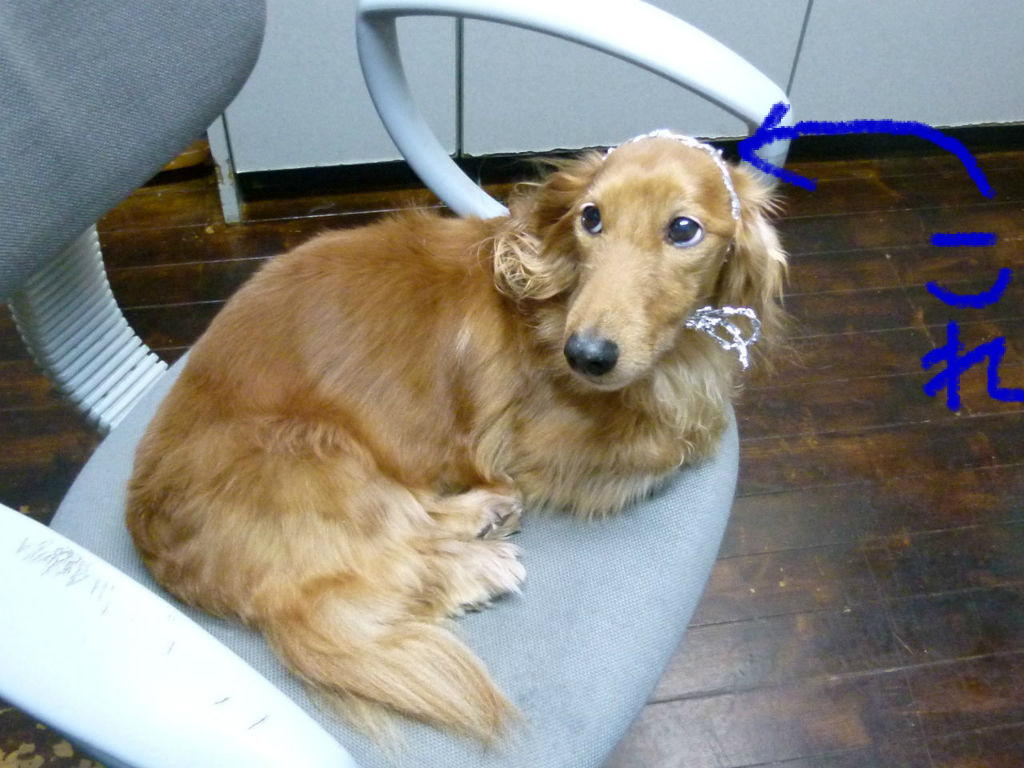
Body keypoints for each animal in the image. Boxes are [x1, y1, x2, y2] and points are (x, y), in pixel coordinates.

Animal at [126, 133, 787, 743]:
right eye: (590, 218)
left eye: (683, 229)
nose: (585, 356)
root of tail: (155, 546)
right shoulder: (531, 441)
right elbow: (671, 445)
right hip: (319, 454)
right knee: (384, 568)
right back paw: (478, 565)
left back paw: (483, 517)